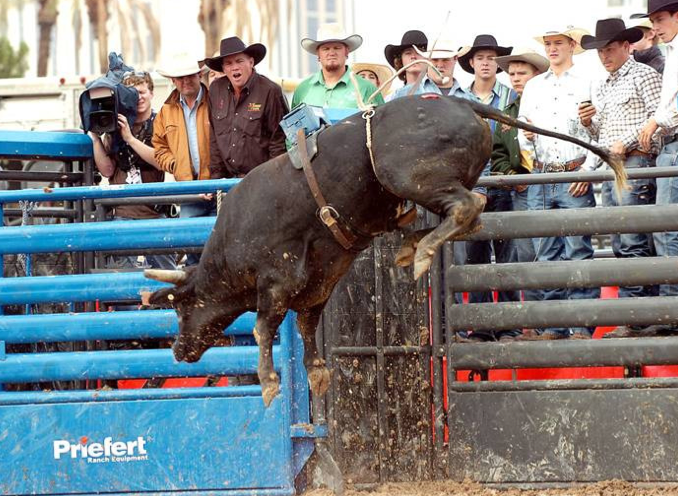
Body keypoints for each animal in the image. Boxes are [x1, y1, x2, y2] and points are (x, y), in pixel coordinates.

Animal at [145, 94, 627, 406]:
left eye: (180, 308)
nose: (178, 351)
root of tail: (466, 104)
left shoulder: (276, 281)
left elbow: (266, 329)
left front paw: (267, 384)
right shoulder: (317, 283)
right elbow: (305, 327)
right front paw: (318, 374)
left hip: (411, 176)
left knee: (469, 206)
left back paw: (421, 251)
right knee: (471, 213)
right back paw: (411, 246)